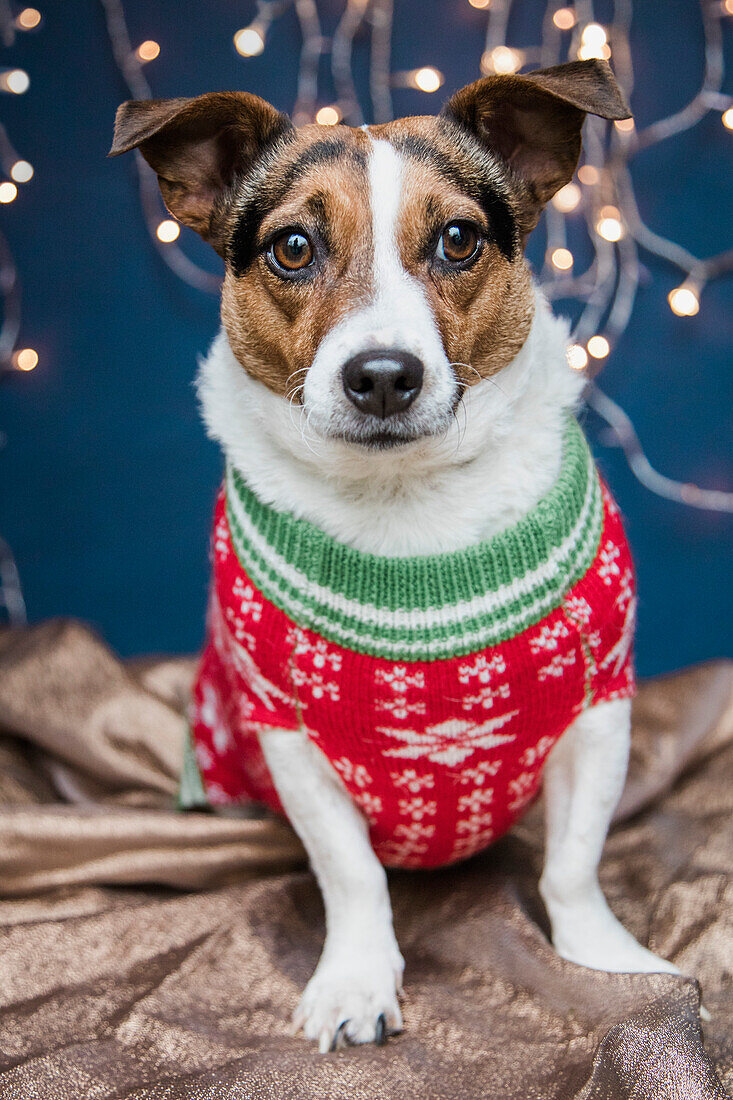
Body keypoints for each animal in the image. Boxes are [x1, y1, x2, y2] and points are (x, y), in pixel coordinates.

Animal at [110, 62, 677, 1056]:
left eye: (458, 239)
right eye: (292, 247)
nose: (381, 375)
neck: (406, 506)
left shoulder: (599, 711)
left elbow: (573, 864)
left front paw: (609, 967)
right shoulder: (290, 741)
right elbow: (351, 873)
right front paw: (356, 982)